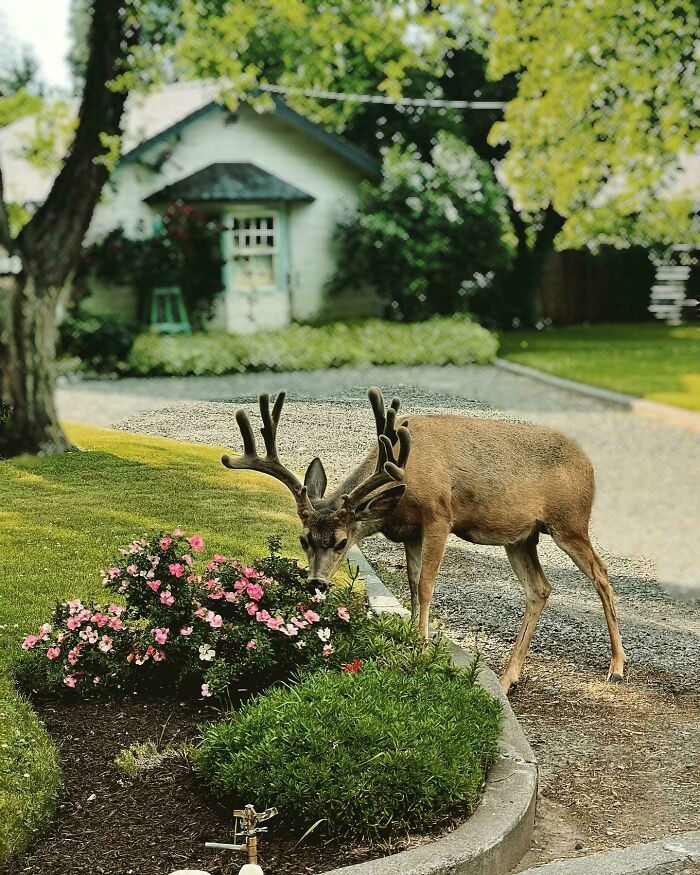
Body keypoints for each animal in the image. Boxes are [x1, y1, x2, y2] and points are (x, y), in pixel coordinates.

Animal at [221, 387, 626, 693]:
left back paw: (617, 667)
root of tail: (589, 466)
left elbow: (428, 583)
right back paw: (508, 678)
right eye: (304, 538)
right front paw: (410, 636)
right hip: (520, 537)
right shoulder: (409, 531)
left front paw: (421, 641)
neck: (401, 484)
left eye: (340, 541)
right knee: (539, 588)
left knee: (602, 573)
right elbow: (413, 582)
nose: (317, 583)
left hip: (569, 521)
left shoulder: (438, 516)